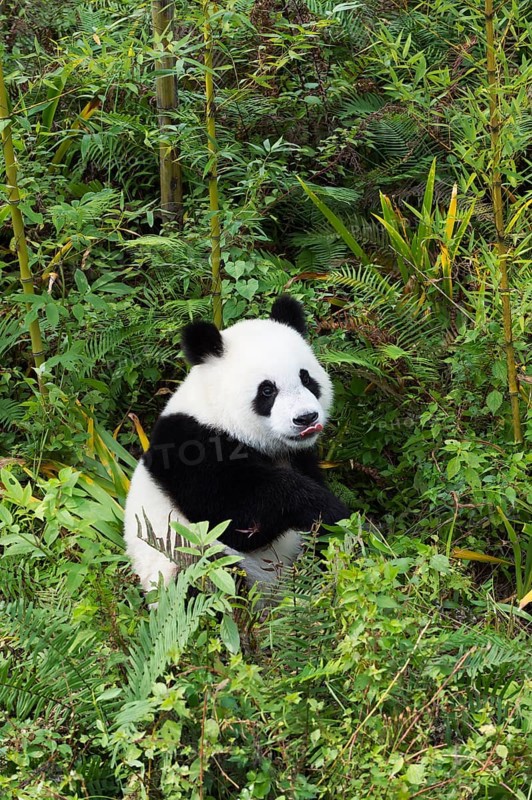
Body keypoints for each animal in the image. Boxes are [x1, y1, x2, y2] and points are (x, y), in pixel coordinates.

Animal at [123, 295, 349, 595]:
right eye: (267, 390)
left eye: (306, 378)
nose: (306, 418)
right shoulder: (191, 451)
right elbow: (236, 519)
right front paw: (329, 510)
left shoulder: (298, 456)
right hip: (181, 559)